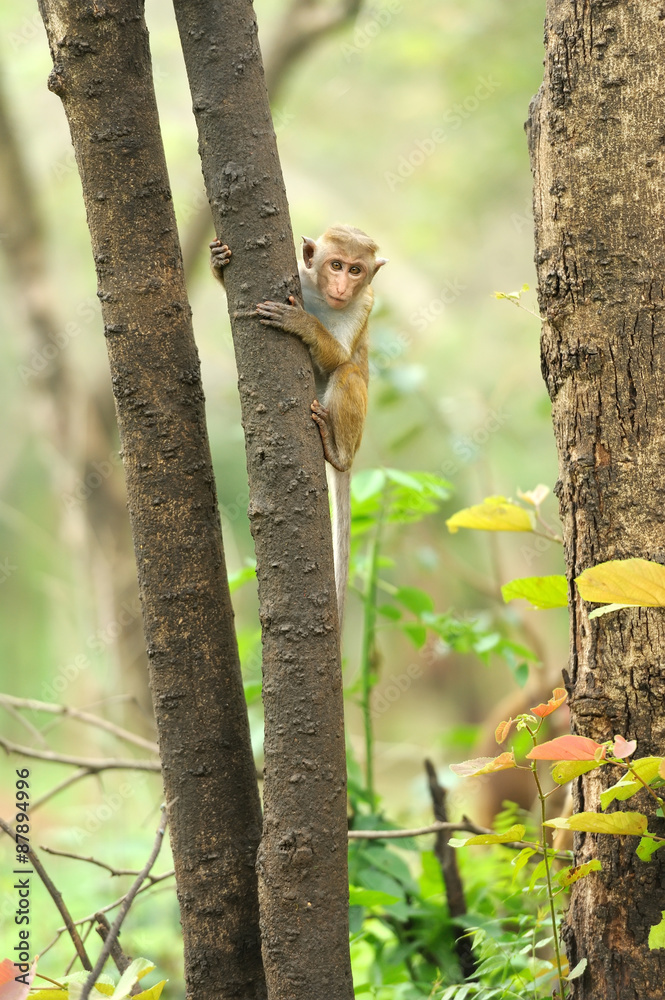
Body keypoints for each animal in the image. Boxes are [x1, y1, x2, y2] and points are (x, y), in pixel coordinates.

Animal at [208, 229, 384, 628]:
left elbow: (340, 357)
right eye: (336, 265)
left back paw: (337, 454)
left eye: (356, 270)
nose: (342, 286)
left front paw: (304, 325)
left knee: (347, 371)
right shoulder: (301, 278)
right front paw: (218, 260)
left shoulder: (364, 303)